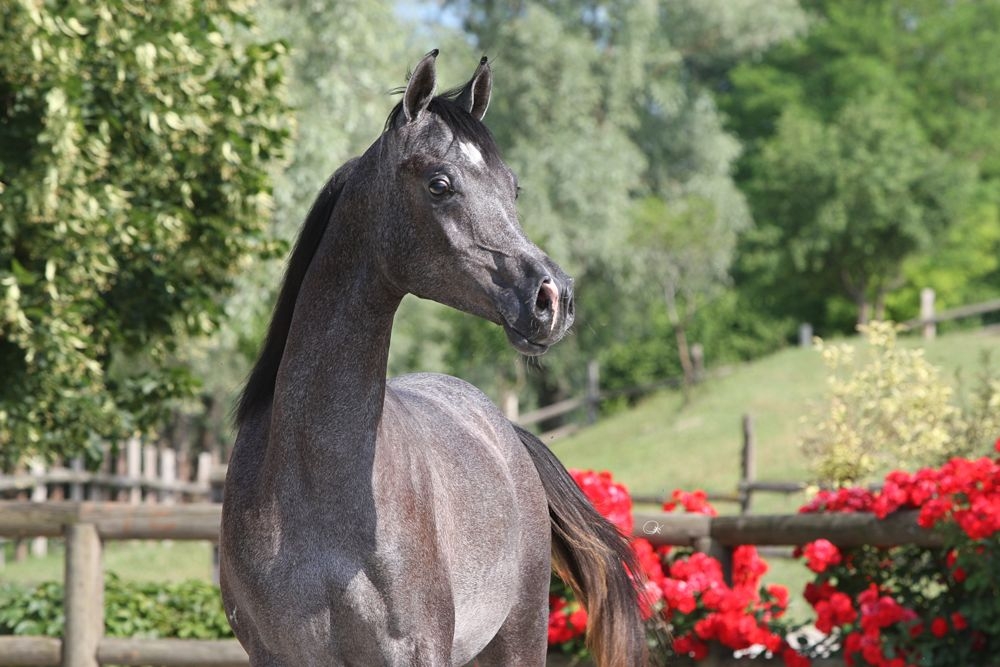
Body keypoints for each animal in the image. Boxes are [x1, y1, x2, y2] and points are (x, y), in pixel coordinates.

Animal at [219, 50, 649, 667]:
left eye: (512, 187)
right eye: (439, 183)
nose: (554, 299)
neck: (314, 493)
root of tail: (505, 431)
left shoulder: (415, 651)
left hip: (519, 637)